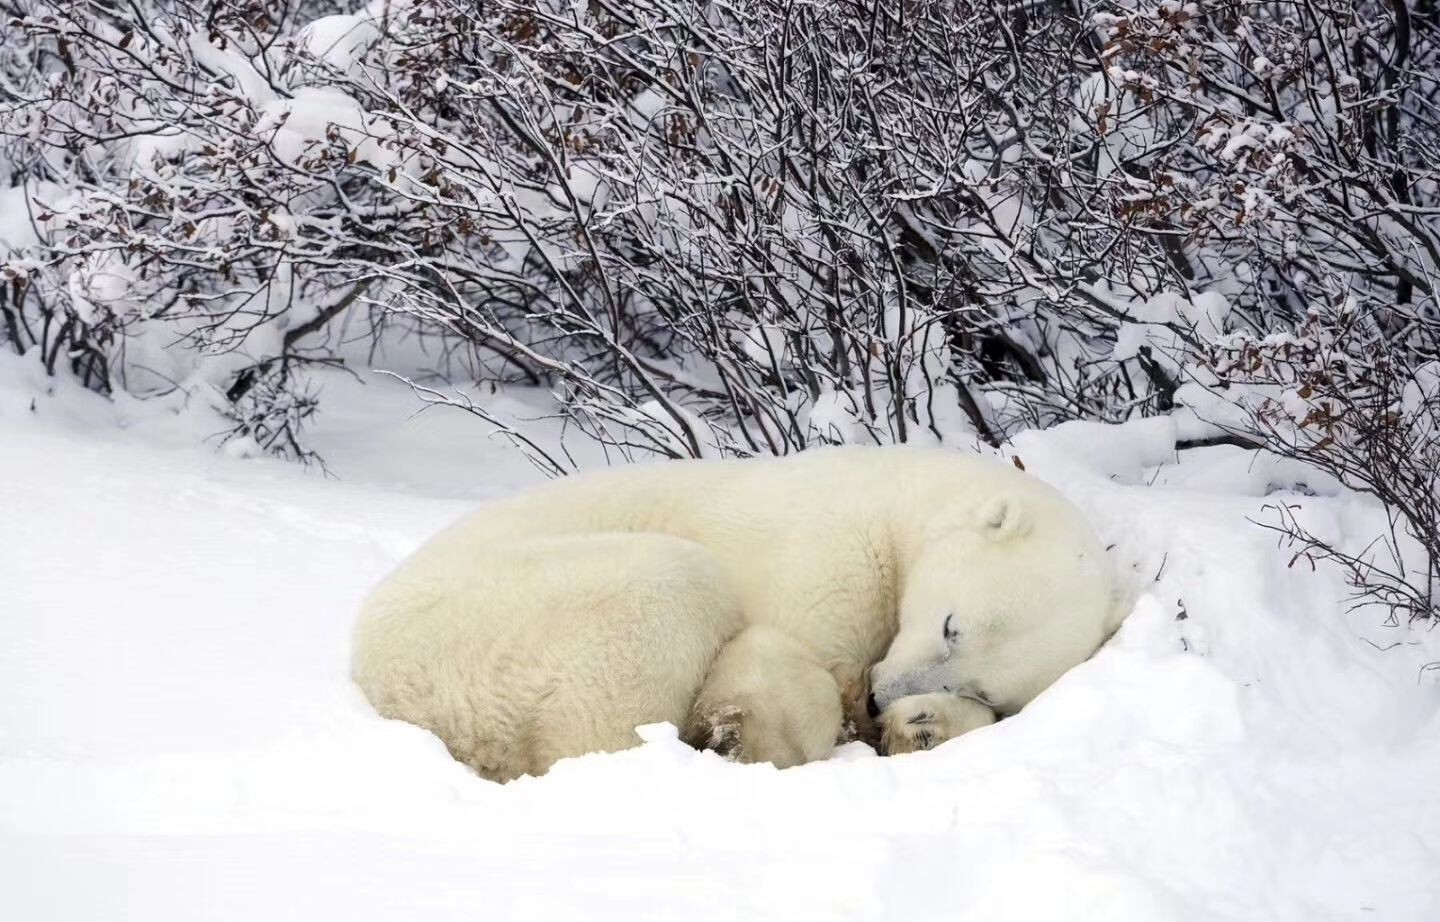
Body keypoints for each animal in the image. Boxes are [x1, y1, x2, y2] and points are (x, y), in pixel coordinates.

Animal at [354, 446, 1117, 777]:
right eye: (951, 624)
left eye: (984, 686)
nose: (881, 696)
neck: (901, 498)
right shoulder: (832, 549)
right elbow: (785, 654)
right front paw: (752, 732)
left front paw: (922, 726)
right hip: (500, 617)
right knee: (663, 597)